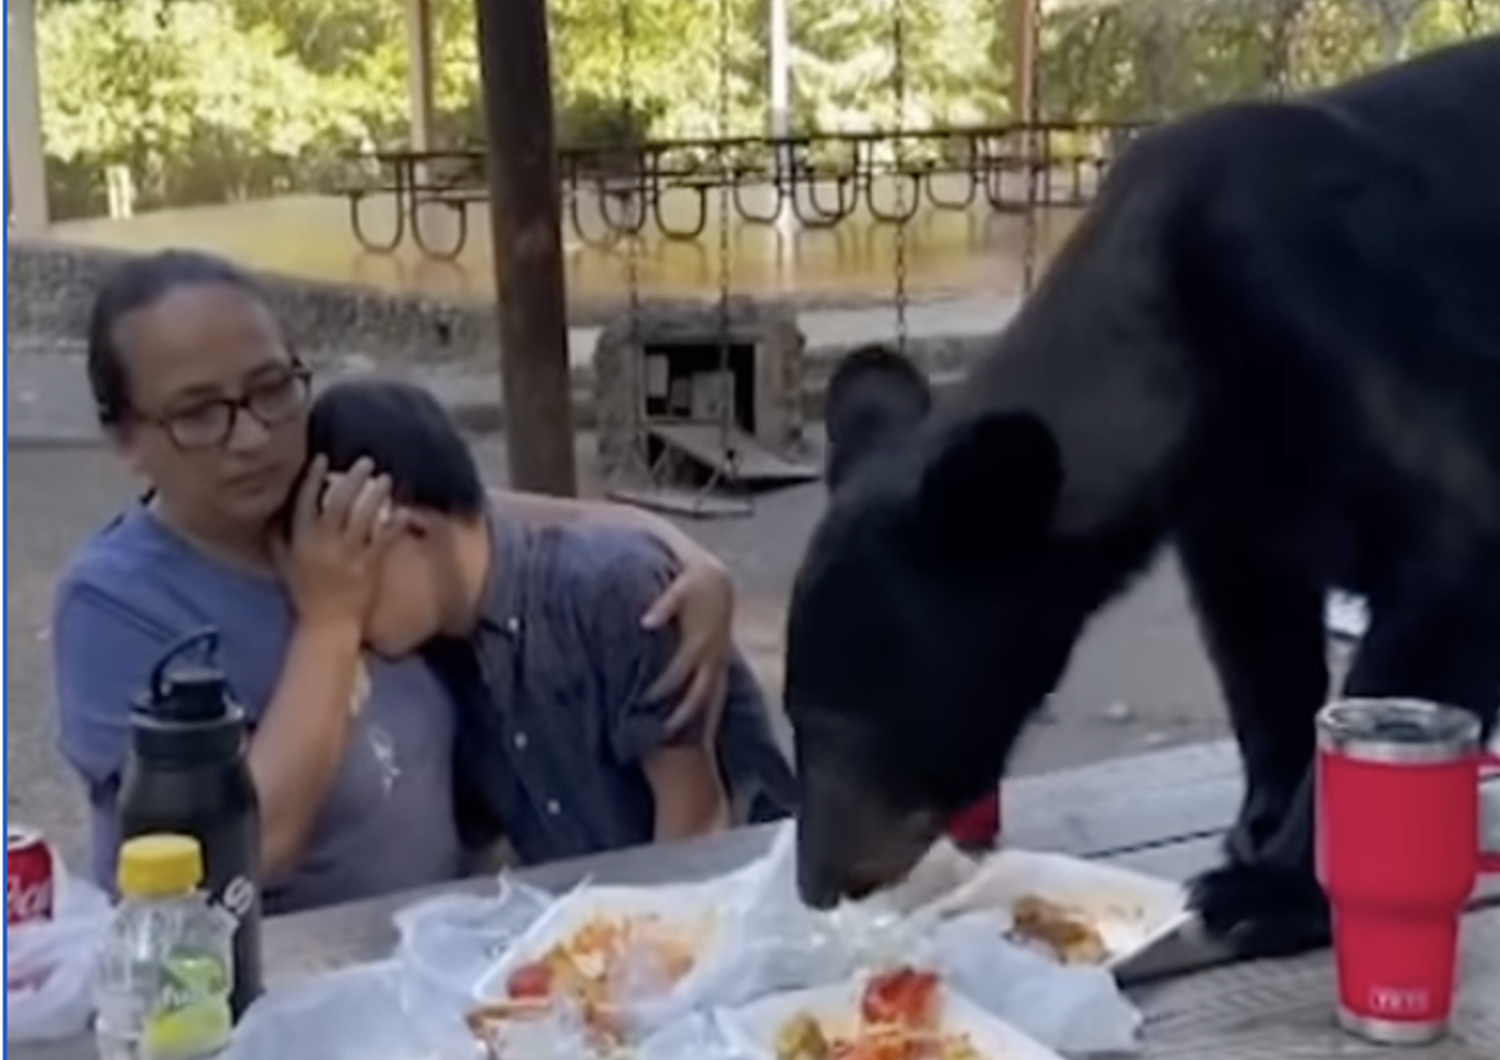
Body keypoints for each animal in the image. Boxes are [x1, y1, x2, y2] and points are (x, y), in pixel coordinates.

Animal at [780, 35, 1500, 959]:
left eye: (847, 722)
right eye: (796, 712)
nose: (817, 881)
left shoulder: (1346, 322)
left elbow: (1453, 553)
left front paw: (1268, 889)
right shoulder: (1238, 502)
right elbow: (1259, 635)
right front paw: (1258, 820)